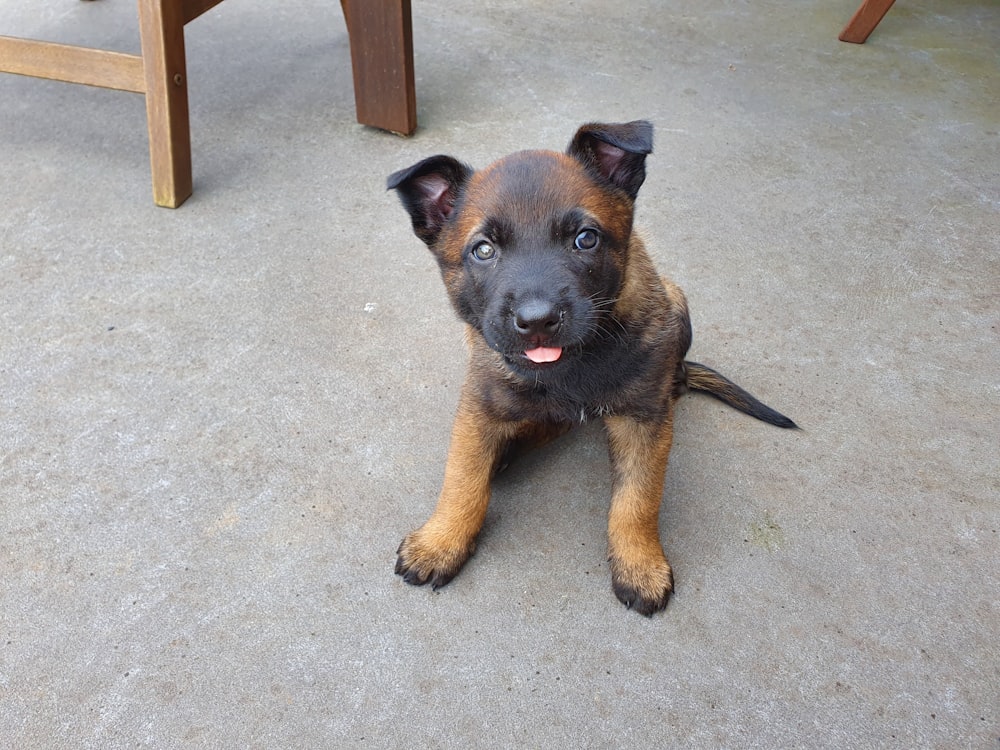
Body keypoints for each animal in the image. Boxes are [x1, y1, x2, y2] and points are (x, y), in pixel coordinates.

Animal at [386, 122, 792, 616]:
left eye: (585, 239)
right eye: (483, 250)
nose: (537, 320)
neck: (572, 366)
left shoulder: (643, 420)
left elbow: (637, 500)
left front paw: (639, 565)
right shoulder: (480, 407)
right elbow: (462, 479)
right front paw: (441, 541)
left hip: (677, 305)